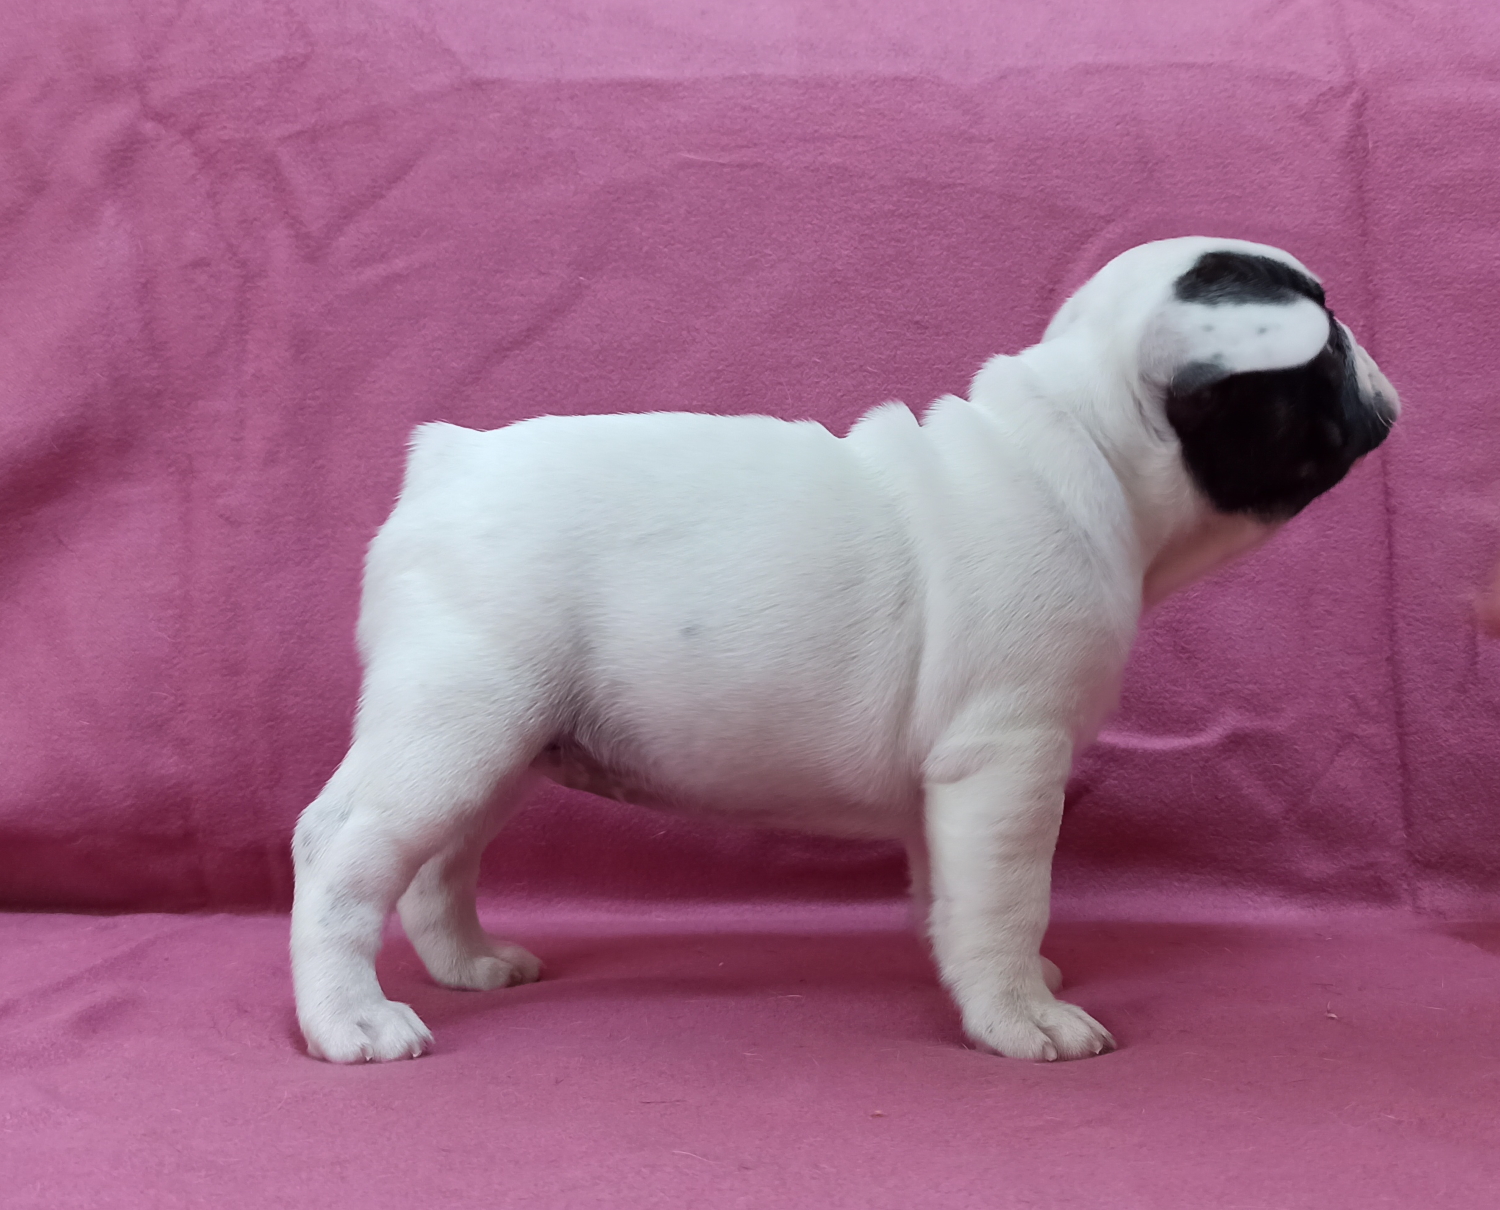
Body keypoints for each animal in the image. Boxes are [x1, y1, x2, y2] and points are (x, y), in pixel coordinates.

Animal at [290, 236, 1398, 1063]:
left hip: (503, 740)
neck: (1082, 445)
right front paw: (1021, 1016)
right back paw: (352, 1019)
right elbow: (1010, 896)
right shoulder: (1009, 760)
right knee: (342, 846)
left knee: (441, 860)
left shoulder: (953, 783)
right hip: (459, 721)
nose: (1377, 363)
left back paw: (470, 963)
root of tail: (447, 463)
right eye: (1326, 341)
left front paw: (986, 978)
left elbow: (952, 892)